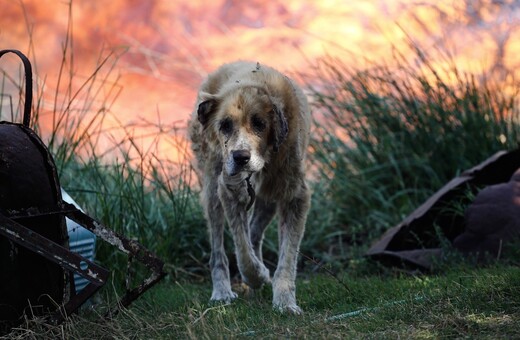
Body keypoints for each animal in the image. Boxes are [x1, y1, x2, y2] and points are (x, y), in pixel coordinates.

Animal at [191, 60, 312, 314]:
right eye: (225, 125)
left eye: (260, 124)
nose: (240, 157)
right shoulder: (228, 191)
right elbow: (242, 251)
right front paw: (257, 276)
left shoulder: (295, 196)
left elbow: (287, 257)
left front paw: (285, 301)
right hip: (212, 192)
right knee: (219, 251)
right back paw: (222, 291)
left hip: (268, 200)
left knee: (254, 233)